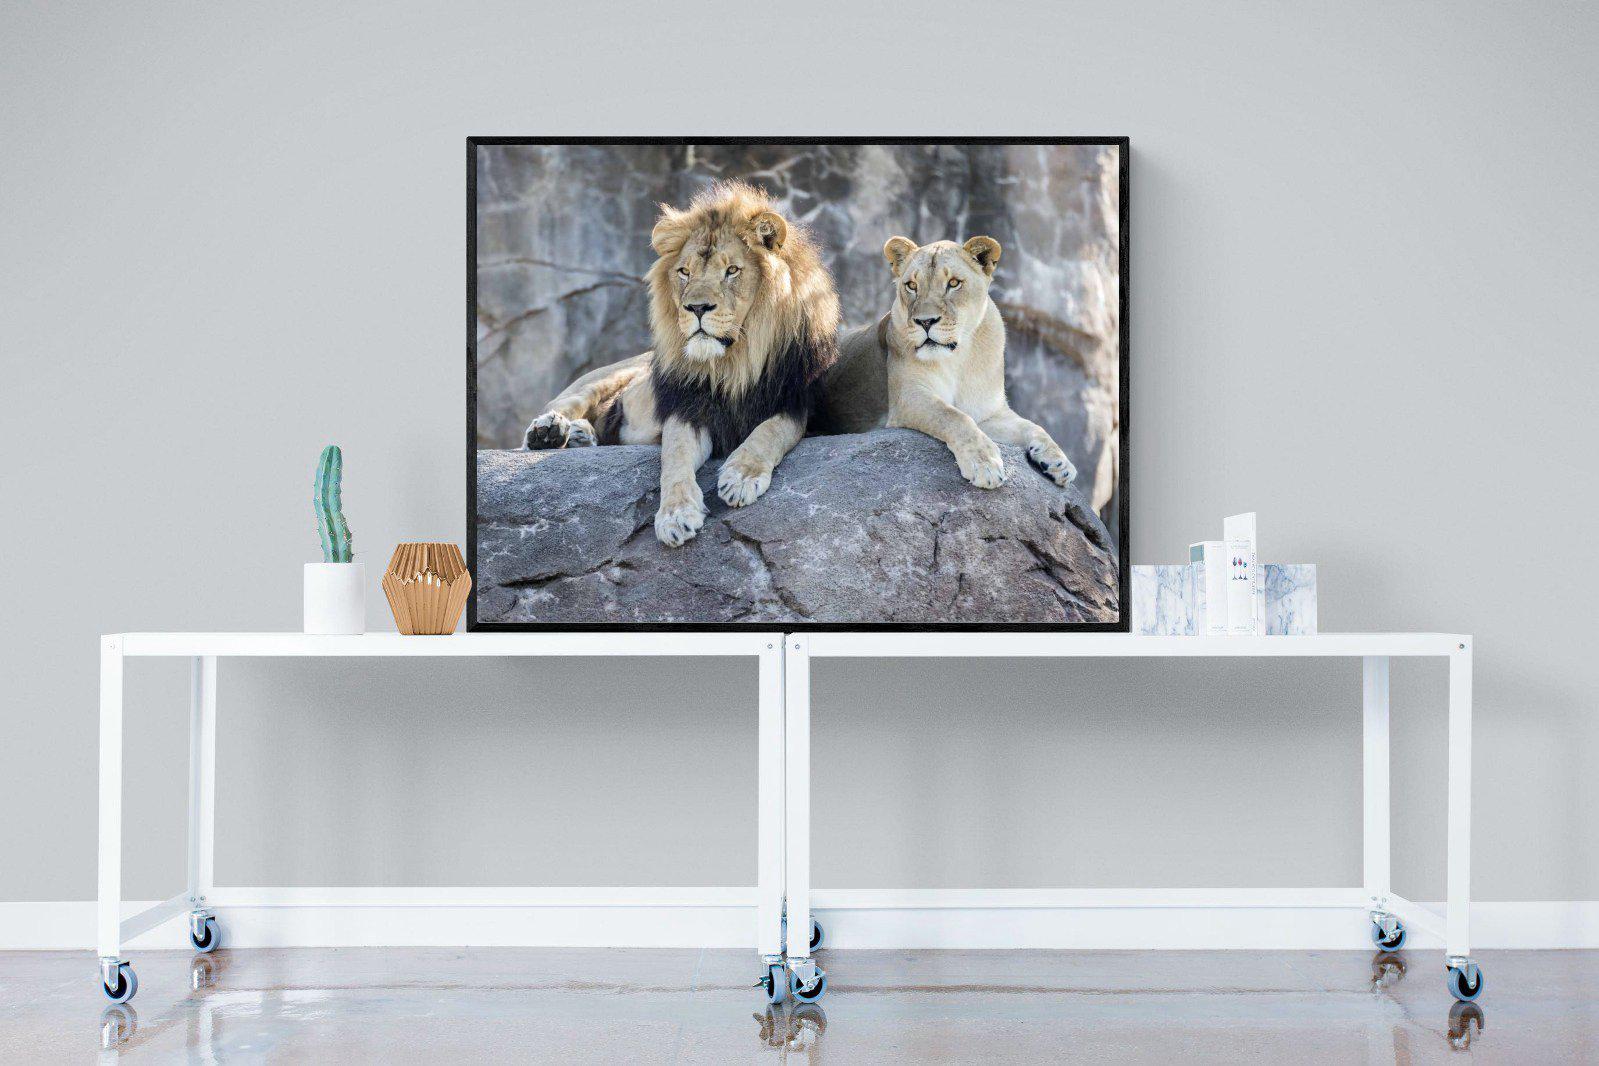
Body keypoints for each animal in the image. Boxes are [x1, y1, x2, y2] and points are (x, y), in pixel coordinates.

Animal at [522, 182, 841, 546]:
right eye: (684, 272)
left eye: (731, 270)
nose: (697, 308)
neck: (733, 364)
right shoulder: (686, 408)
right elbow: (673, 458)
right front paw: (675, 515)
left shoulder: (795, 403)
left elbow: (770, 432)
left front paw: (741, 477)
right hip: (602, 377)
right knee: (564, 404)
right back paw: (549, 432)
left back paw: (579, 435)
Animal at [823, 234, 1077, 489]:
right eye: (911, 285)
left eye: (953, 283)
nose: (925, 322)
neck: (959, 359)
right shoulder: (908, 397)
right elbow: (953, 416)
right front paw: (984, 464)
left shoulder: (988, 413)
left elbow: (1033, 426)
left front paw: (1059, 462)